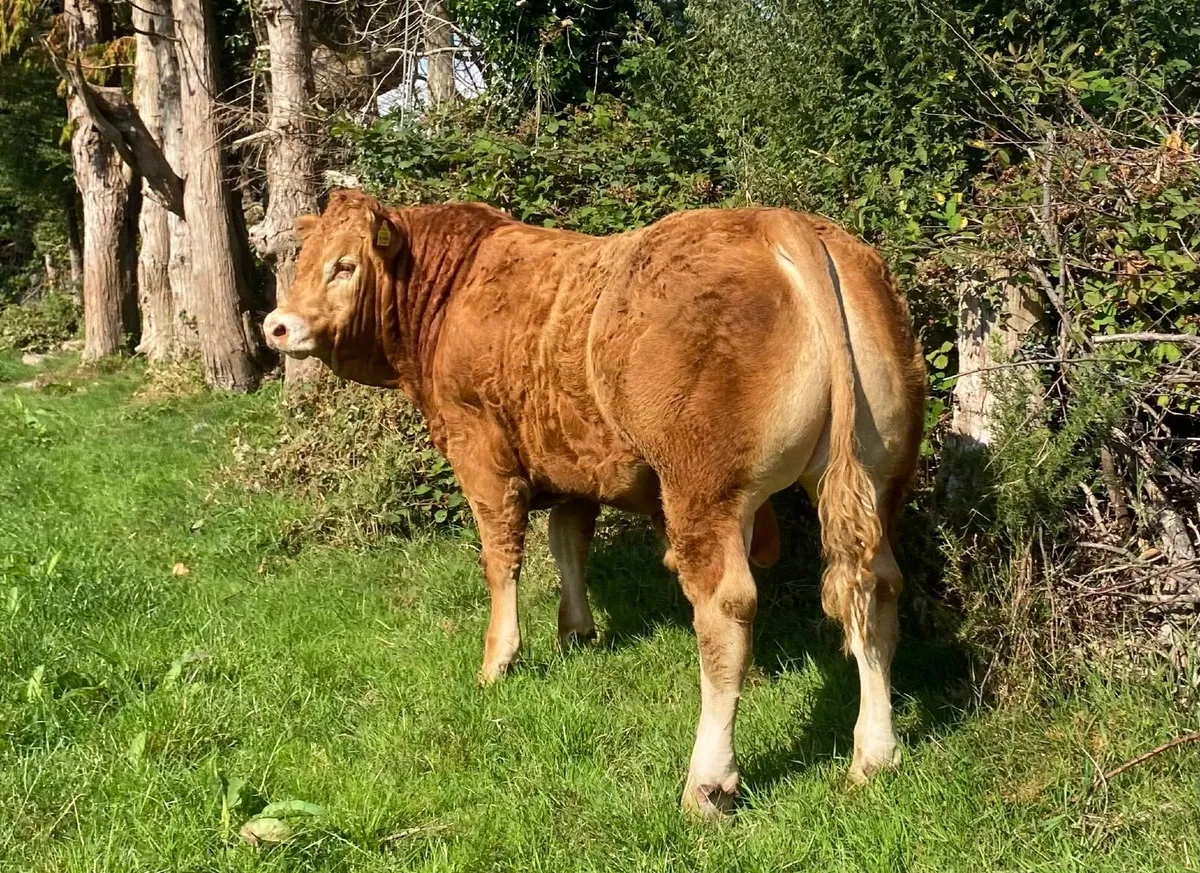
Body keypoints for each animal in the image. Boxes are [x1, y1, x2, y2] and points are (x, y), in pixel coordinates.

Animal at [263, 189, 926, 817]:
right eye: (303, 259)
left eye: (344, 265)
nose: (277, 325)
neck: (451, 290)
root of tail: (774, 221)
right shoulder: (574, 462)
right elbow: (567, 542)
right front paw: (576, 633)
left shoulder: (479, 449)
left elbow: (500, 556)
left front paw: (498, 661)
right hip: (876, 474)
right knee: (876, 589)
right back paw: (874, 756)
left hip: (703, 489)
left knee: (726, 608)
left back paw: (708, 784)